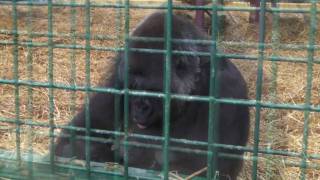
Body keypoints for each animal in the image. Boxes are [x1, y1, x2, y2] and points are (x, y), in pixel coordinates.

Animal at [55, 11, 250, 180]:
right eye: (132, 86)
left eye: (151, 89)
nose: (139, 108)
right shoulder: (120, 66)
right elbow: (81, 133)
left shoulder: (227, 87)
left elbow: (209, 168)